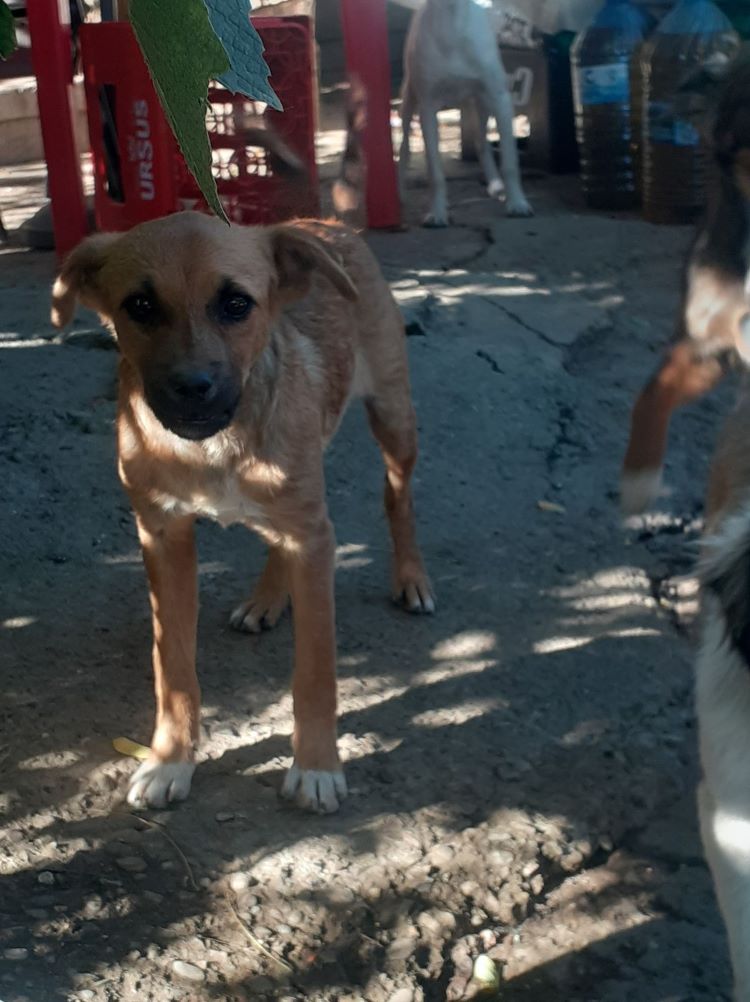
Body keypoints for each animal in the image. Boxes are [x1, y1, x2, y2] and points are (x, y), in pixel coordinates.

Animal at [52, 211, 432, 813]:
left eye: (236, 304)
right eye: (140, 305)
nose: (193, 390)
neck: (213, 447)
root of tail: (324, 221)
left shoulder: (313, 539)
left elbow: (315, 672)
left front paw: (317, 767)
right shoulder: (162, 535)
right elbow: (173, 668)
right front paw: (170, 760)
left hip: (393, 416)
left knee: (399, 496)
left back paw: (411, 578)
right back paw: (267, 598)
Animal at [398, 0, 532, 226]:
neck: (453, 25)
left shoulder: (500, 99)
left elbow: (510, 162)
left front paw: (517, 203)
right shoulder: (427, 108)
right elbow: (435, 170)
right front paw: (437, 212)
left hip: (483, 103)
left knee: (481, 143)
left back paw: (496, 186)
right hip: (409, 97)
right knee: (405, 144)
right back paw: (400, 190)